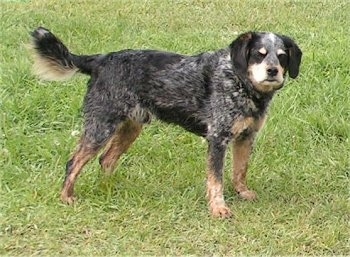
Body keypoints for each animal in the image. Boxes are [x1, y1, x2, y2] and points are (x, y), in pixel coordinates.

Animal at [31, 27, 302, 217]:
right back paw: (67, 197)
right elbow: (216, 180)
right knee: (74, 162)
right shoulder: (217, 139)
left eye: (282, 56)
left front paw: (243, 192)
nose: (272, 71)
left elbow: (240, 170)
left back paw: (110, 188)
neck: (239, 83)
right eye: (259, 54)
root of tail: (100, 60)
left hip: (130, 127)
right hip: (101, 126)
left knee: (106, 160)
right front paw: (218, 209)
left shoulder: (246, 137)